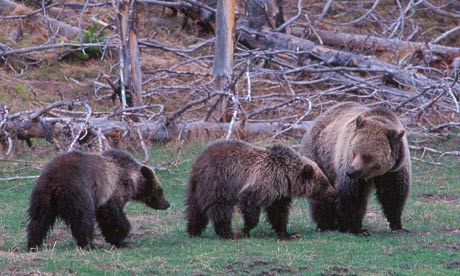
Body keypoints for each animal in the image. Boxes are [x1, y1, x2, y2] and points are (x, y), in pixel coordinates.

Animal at [25, 150, 169, 251]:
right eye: (161, 190)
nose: (167, 204)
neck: (132, 179)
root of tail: (54, 182)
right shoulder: (112, 191)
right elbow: (112, 215)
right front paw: (120, 238)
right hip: (78, 193)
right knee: (83, 219)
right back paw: (88, 244)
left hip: (42, 197)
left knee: (39, 220)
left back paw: (33, 244)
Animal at [185, 140, 336, 239]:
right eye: (324, 182)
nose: (333, 193)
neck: (286, 176)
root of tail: (199, 161)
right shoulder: (263, 183)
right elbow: (250, 205)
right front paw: (245, 229)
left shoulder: (279, 194)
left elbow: (278, 213)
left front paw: (288, 233)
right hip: (217, 181)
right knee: (219, 207)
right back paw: (227, 232)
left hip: (196, 187)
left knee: (195, 209)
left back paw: (193, 230)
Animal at [300, 101, 412, 235]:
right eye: (354, 151)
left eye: (367, 156)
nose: (351, 171)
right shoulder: (348, 163)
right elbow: (352, 194)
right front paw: (356, 228)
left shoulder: (394, 171)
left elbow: (393, 194)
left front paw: (398, 226)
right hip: (320, 156)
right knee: (321, 192)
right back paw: (325, 224)